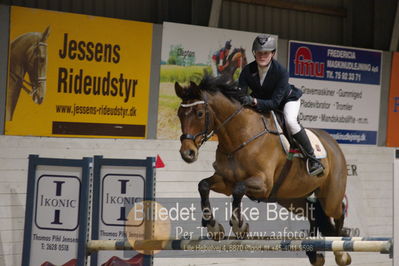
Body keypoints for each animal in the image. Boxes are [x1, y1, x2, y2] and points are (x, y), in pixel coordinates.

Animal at [177, 76, 352, 264]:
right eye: (179, 114)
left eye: (199, 114)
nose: (187, 153)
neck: (240, 136)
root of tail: (334, 144)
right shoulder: (226, 181)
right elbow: (204, 185)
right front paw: (214, 228)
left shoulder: (263, 184)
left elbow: (239, 189)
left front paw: (239, 227)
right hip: (292, 198)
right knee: (313, 214)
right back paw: (314, 254)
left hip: (330, 197)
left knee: (338, 212)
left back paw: (341, 254)